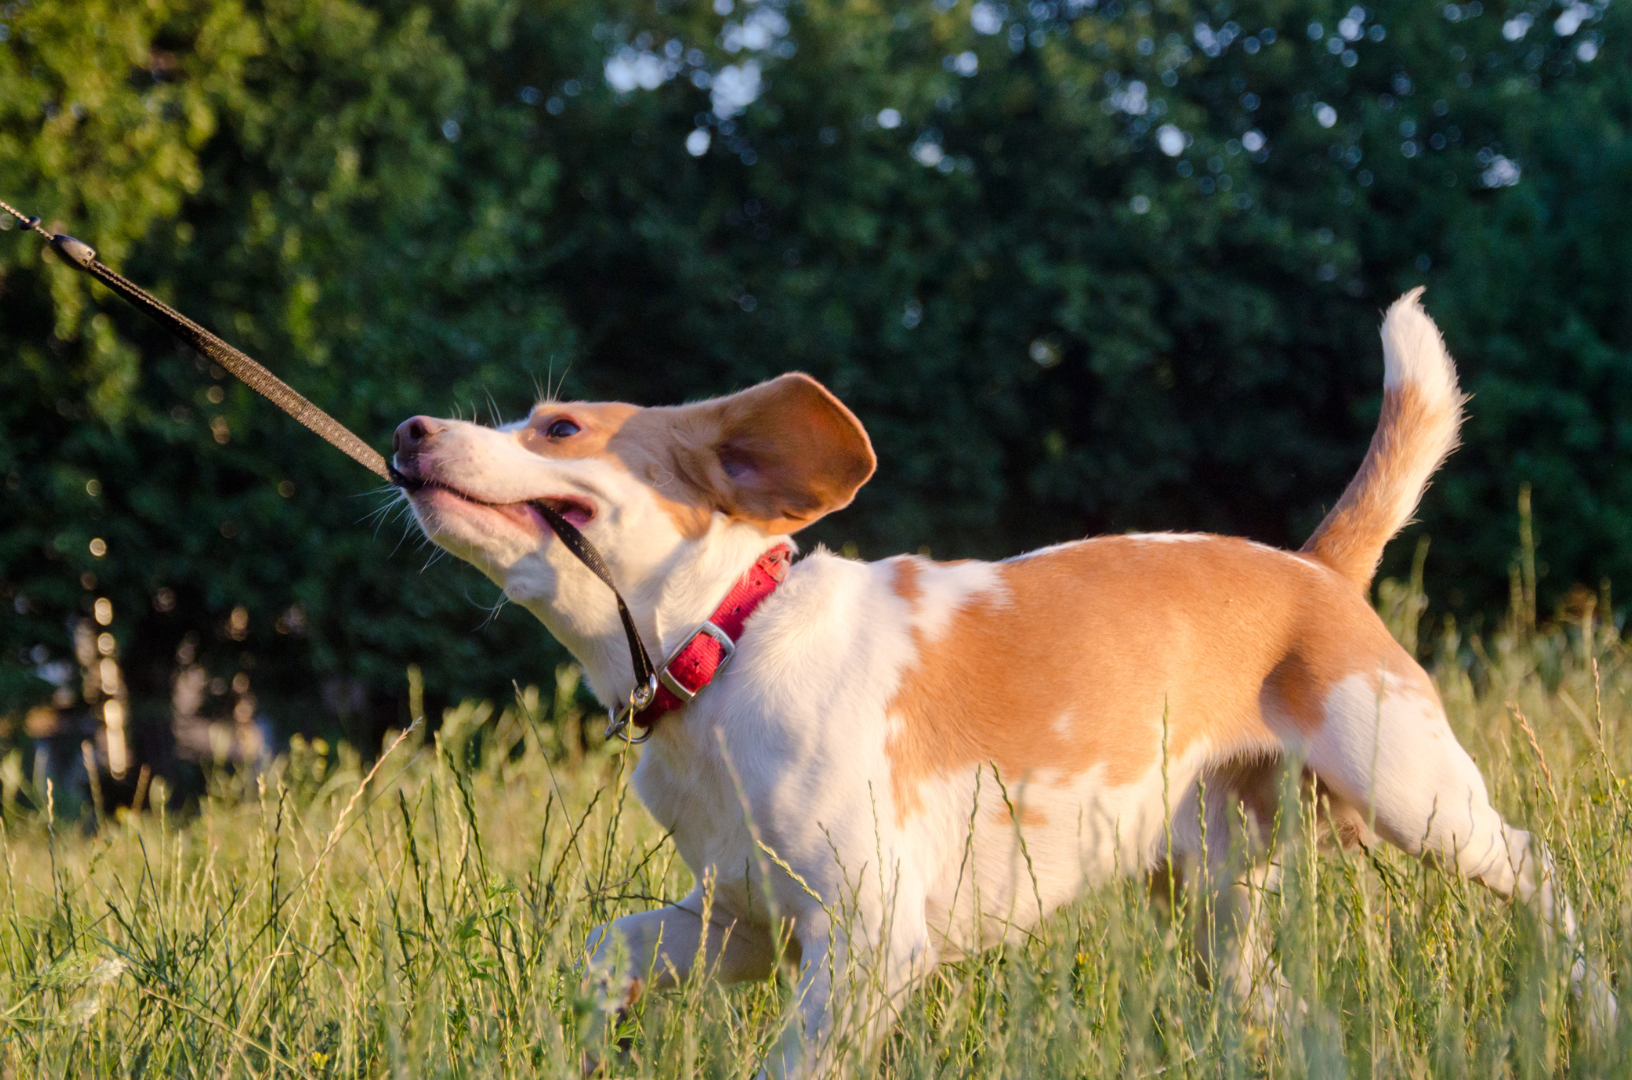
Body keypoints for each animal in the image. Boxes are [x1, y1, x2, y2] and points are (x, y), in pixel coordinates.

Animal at [398, 292, 1605, 1076]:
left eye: (559, 426)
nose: (409, 426)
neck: (725, 649)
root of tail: (1311, 566)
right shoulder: (741, 920)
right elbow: (608, 950)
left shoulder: (868, 938)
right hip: (1212, 913)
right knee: (1294, 1010)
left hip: (1416, 794)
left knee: (1542, 871)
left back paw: (1594, 1005)